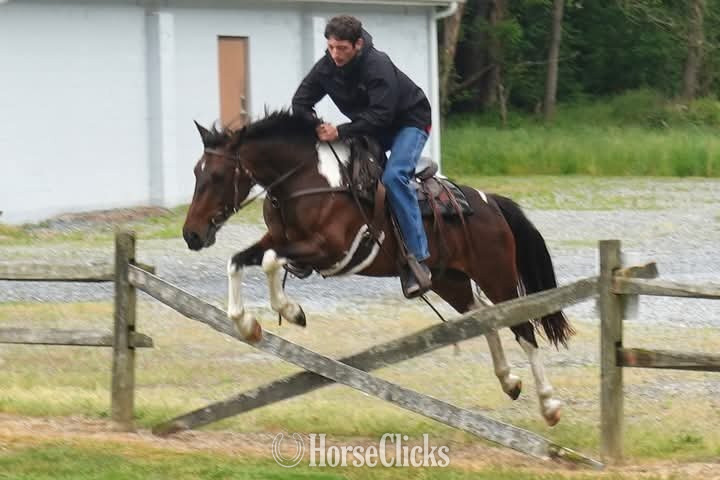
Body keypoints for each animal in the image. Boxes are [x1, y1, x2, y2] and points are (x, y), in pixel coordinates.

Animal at [182, 110, 574, 426]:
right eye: (196, 172)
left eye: (218, 176)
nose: (192, 234)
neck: (309, 181)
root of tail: (491, 202)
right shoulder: (278, 240)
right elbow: (238, 261)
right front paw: (248, 324)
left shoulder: (329, 249)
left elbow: (267, 262)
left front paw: (290, 311)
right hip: (450, 280)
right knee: (483, 317)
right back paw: (509, 381)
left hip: (497, 276)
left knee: (522, 328)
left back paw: (549, 405)